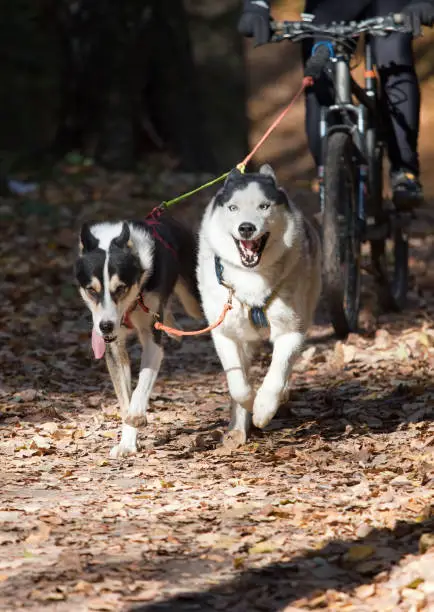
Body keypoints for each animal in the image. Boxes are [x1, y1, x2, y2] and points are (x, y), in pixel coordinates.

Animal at [76, 213, 202, 456]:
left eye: (120, 288)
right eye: (91, 290)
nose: (105, 326)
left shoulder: (152, 341)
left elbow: (141, 385)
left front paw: (137, 415)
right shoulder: (114, 348)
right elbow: (124, 399)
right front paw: (127, 443)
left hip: (194, 300)